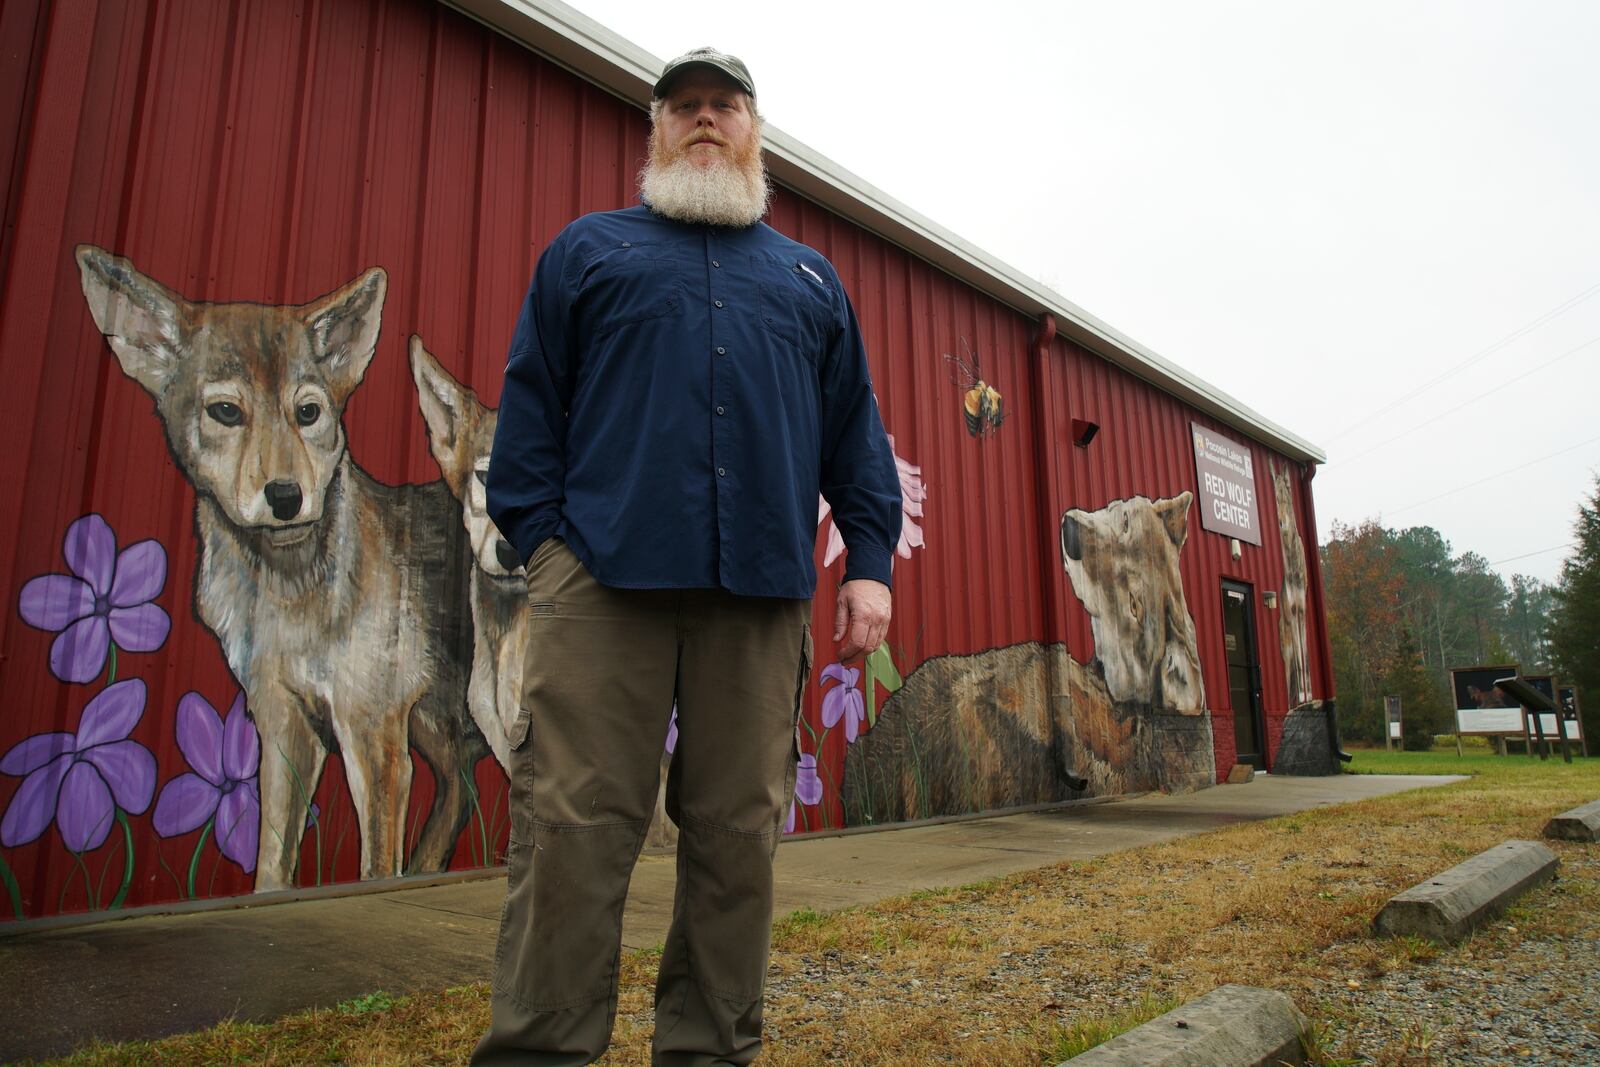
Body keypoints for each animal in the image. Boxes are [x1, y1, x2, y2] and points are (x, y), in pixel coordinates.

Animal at [76, 246, 486, 889]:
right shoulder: (283, 720)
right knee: (462, 787)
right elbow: (272, 857)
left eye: (309, 412)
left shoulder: (372, 732)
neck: (291, 595)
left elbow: (374, 864)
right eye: (225, 412)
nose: (287, 496)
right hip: (435, 719)